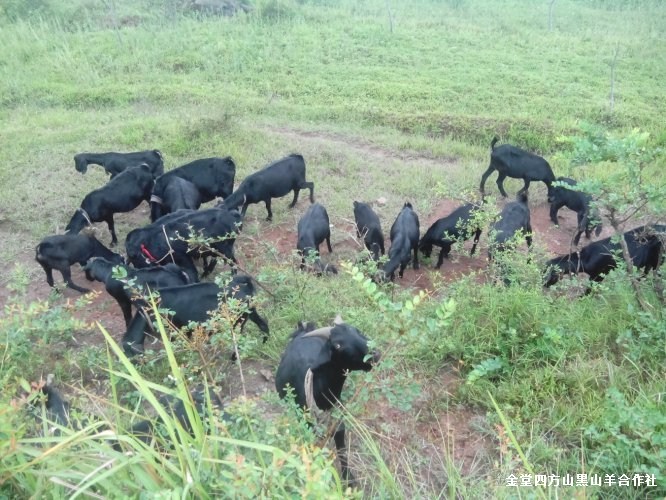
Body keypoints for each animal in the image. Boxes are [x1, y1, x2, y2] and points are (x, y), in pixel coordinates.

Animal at [122, 278, 270, 356]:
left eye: (128, 353)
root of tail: (244, 287)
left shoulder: (175, 330)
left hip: (236, 322)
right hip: (250, 313)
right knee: (263, 324)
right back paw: (264, 343)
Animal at [274, 316, 378, 484]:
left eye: (356, 330)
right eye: (337, 345)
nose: (375, 354)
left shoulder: (338, 417)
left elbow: (341, 447)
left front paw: (349, 479)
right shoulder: (308, 424)